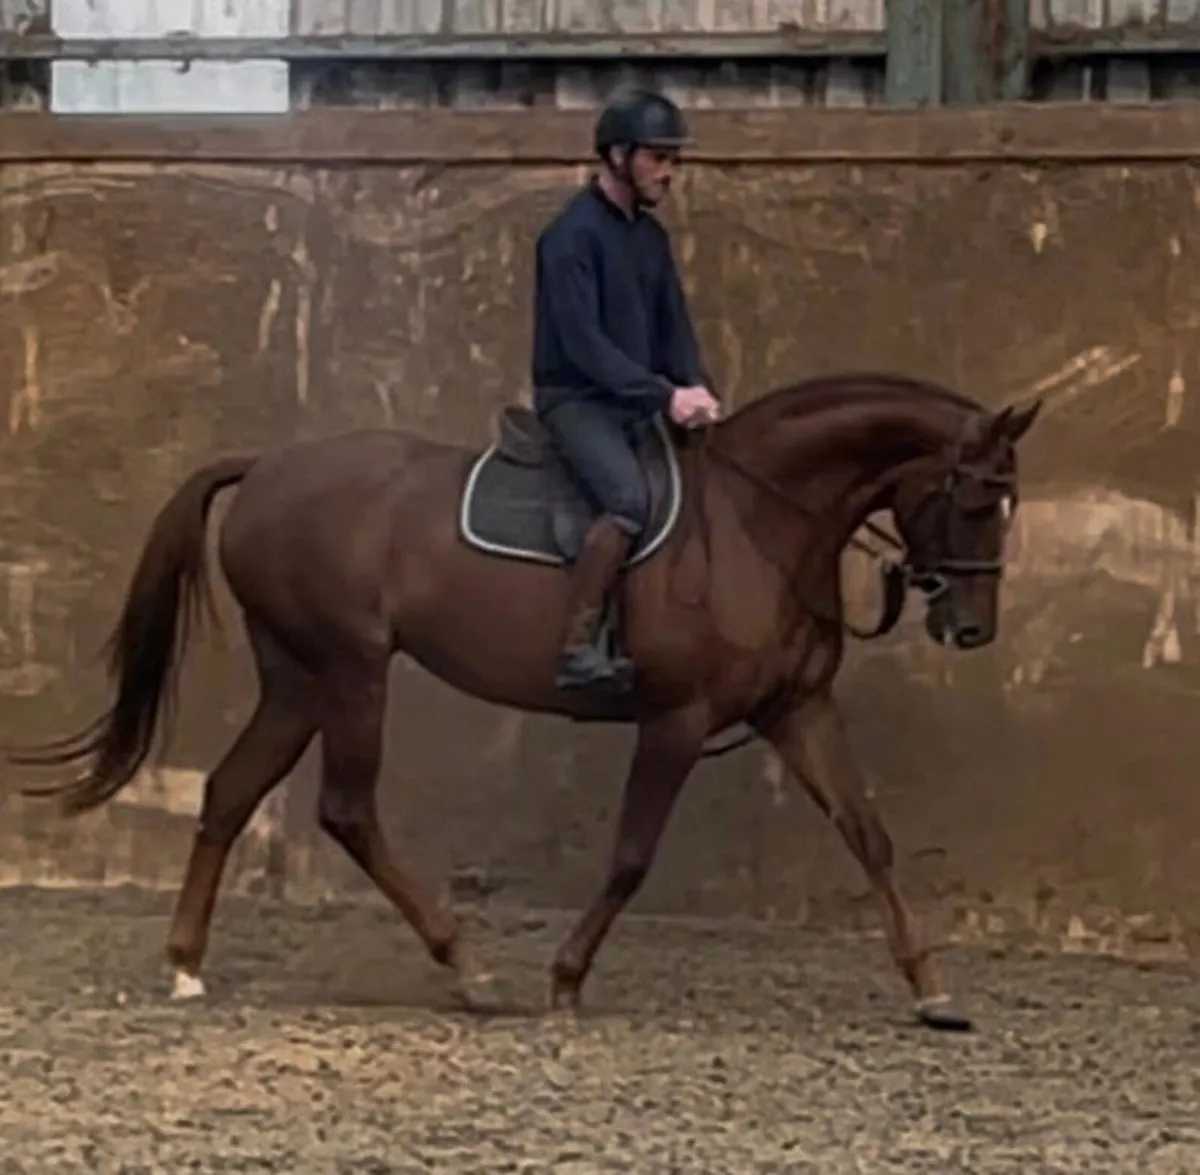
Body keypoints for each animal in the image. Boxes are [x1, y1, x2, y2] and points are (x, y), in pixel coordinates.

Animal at [11, 373, 1041, 1032]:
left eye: (1007, 504)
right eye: (972, 499)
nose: (970, 628)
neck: (759, 522)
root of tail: (266, 466)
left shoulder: (799, 708)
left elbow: (869, 834)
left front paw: (931, 988)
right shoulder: (678, 719)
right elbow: (631, 856)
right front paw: (566, 978)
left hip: (298, 674)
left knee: (231, 790)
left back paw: (187, 963)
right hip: (350, 668)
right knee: (346, 809)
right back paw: (467, 967)